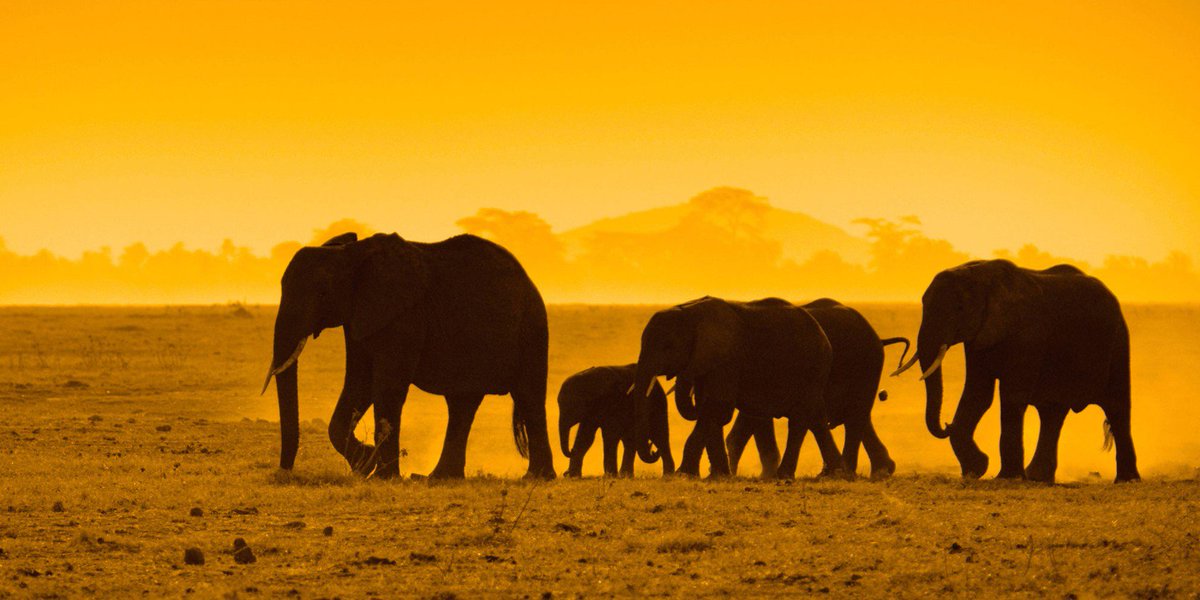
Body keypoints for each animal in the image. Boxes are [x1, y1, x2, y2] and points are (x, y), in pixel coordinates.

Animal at [261, 232, 557, 480]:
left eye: (323, 293)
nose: (284, 472)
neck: (351, 254)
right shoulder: (361, 315)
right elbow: (360, 382)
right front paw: (365, 465)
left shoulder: (403, 315)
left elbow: (387, 387)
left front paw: (380, 476)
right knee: (462, 404)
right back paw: (438, 478)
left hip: (531, 329)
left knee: (528, 397)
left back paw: (536, 478)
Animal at [629, 296, 840, 479]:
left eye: (668, 346)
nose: (653, 449)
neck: (690, 312)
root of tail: (823, 335)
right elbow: (710, 408)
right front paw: (717, 476)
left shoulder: (727, 359)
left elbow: (717, 406)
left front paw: (685, 474)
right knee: (816, 418)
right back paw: (835, 473)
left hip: (813, 369)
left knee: (799, 420)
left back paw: (785, 475)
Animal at [893, 259, 1139, 483]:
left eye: (960, 309)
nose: (946, 425)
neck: (981, 274)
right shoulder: (980, 338)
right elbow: (977, 395)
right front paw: (976, 470)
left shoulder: (1028, 336)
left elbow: (1012, 397)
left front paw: (1007, 478)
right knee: (1052, 413)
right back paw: (1038, 478)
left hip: (1118, 342)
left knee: (1117, 407)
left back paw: (1127, 480)